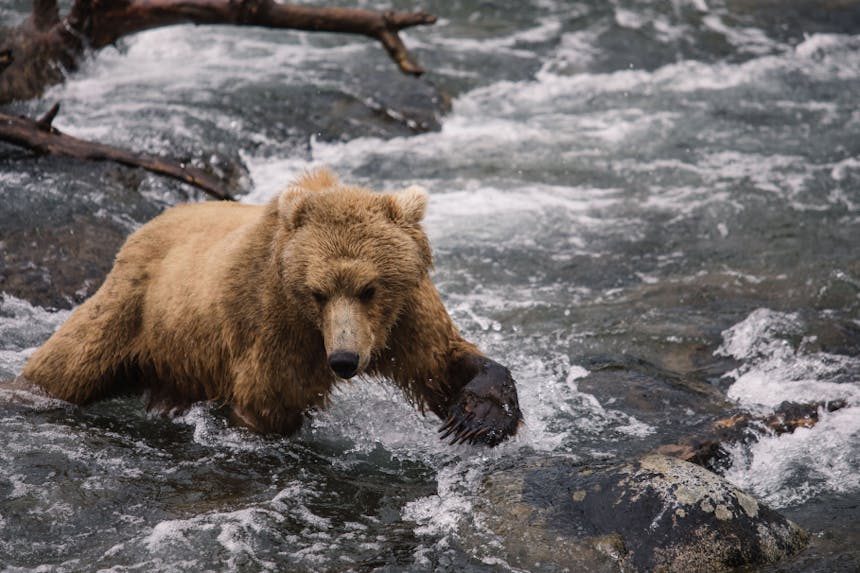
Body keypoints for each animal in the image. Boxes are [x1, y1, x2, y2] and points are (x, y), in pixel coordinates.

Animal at [23, 168, 520, 444]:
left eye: (369, 288)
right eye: (318, 291)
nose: (344, 360)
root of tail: (144, 225)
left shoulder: (403, 314)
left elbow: (439, 362)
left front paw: (477, 418)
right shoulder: (278, 322)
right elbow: (268, 402)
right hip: (132, 306)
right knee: (66, 366)